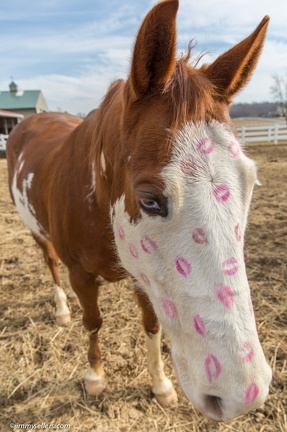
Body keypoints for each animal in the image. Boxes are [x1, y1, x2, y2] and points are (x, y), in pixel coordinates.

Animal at [6, 0, 272, 422]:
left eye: (249, 184)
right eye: (149, 199)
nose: (242, 395)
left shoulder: (144, 277)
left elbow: (151, 326)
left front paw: (161, 385)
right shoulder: (80, 273)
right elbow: (93, 321)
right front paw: (95, 378)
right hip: (37, 232)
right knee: (49, 262)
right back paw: (61, 309)